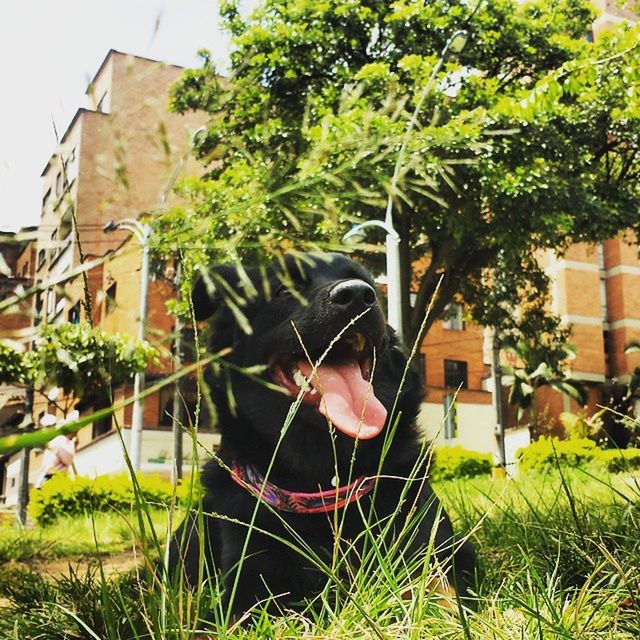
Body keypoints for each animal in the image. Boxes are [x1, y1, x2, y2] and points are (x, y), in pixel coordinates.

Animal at [170, 252, 476, 616]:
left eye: (371, 288)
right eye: (283, 290)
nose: (357, 295)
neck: (324, 487)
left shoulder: (433, 545)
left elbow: (437, 590)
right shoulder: (248, 588)